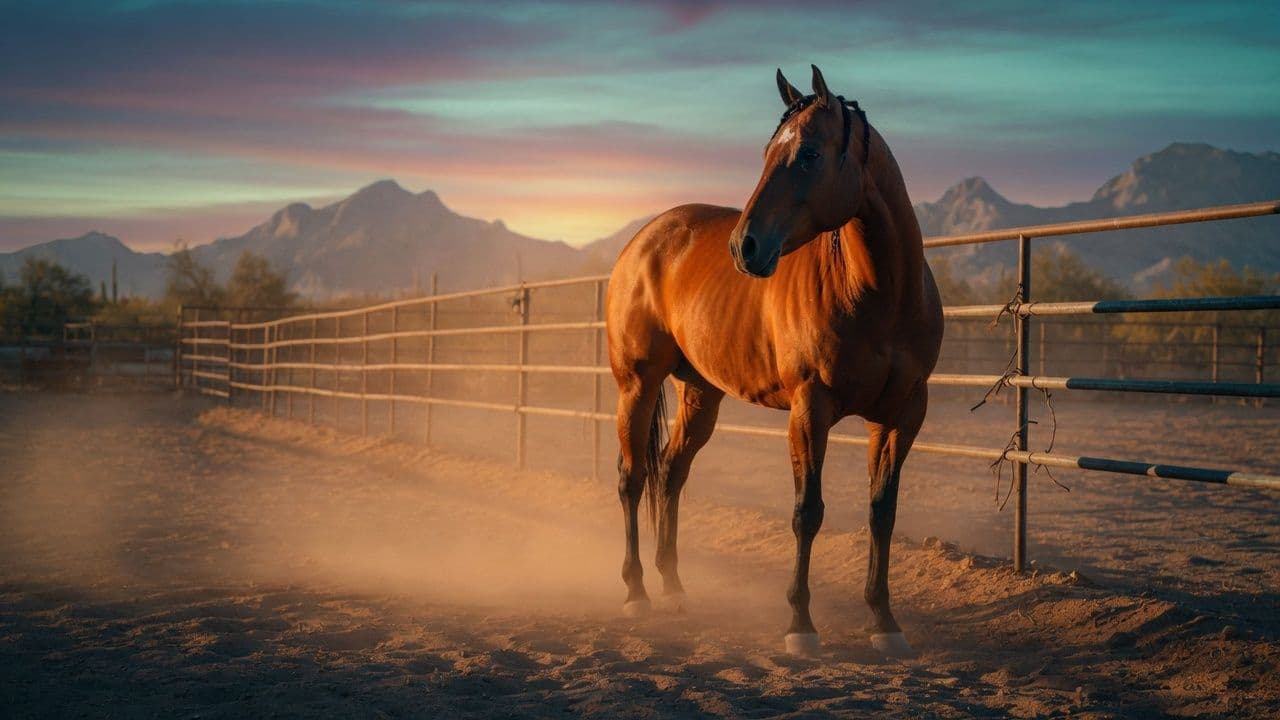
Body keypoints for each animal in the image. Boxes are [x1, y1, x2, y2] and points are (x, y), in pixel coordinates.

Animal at [605, 65, 943, 657]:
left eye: (807, 154)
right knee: (632, 478)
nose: (745, 247)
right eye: (768, 152)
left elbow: (882, 512)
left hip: (700, 393)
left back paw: (674, 589)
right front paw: (800, 625)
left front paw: (884, 622)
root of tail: (644, 240)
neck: (879, 295)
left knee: (670, 474)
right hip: (637, 386)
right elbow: (807, 513)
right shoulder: (810, 410)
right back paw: (638, 593)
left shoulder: (902, 415)